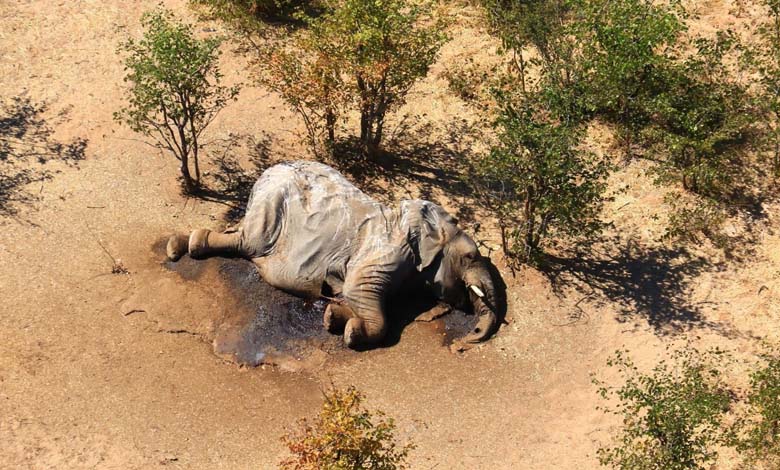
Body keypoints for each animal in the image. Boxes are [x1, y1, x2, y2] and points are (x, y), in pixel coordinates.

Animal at [168, 162, 502, 348]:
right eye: (470, 256)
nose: (467, 340)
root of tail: (267, 172)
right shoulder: (387, 251)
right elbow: (359, 291)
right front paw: (352, 332)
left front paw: (333, 317)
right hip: (271, 204)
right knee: (247, 242)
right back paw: (184, 246)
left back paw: (179, 244)